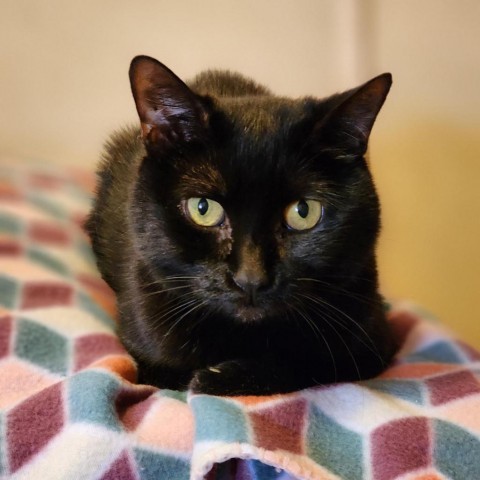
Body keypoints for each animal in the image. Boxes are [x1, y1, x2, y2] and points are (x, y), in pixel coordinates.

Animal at [86, 55, 398, 394]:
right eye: (203, 208)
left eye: (304, 211)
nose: (251, 279)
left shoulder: (371, 341)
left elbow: (309, 364)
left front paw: (219, 377)